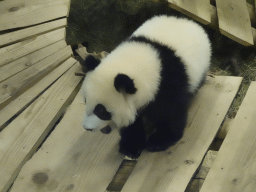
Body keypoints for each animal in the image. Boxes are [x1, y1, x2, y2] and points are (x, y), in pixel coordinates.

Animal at [81, 15, 211, 159]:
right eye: (86, 101)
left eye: (101, 111)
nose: (87, 128)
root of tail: (186, 20)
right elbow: (132, 122)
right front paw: (130, 146)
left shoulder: (169, 82)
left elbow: (171, 113)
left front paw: (158, 141)